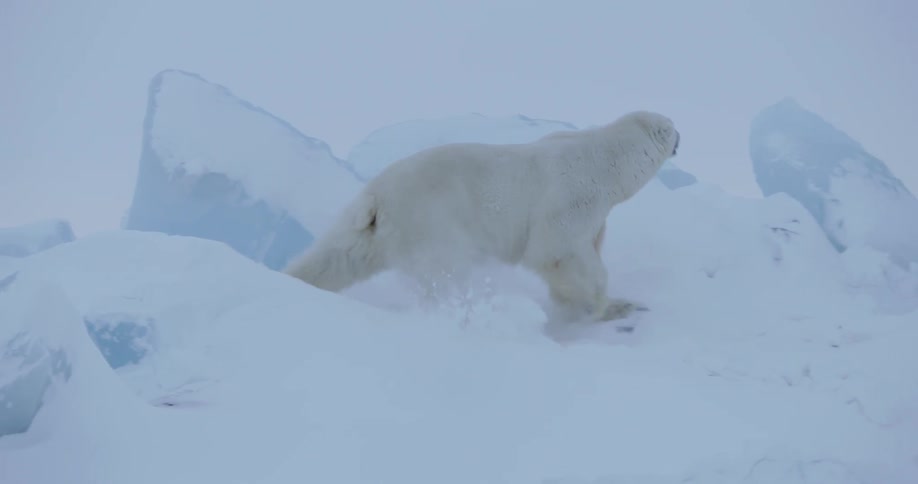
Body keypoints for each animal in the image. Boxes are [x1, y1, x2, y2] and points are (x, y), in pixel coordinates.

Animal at [283, 110, 681, 322]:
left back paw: (294, 278)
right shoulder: (572, 198)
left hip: (364, 226)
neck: (604, 158)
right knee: (446, 274)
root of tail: (377, 199)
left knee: (337, 257)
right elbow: (556, 252)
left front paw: (573, 302)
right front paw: (613, 305)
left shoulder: (596, 212)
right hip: (432, 224)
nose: (681, 137)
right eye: (673, 128)